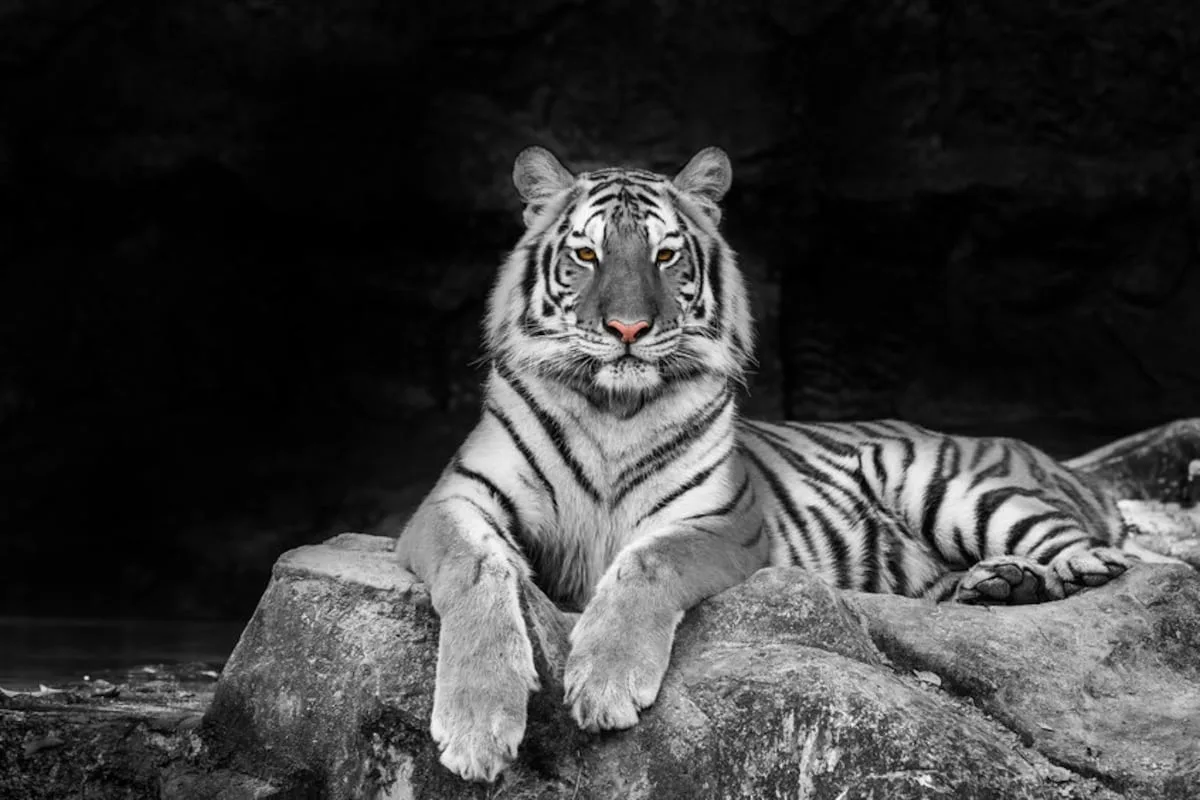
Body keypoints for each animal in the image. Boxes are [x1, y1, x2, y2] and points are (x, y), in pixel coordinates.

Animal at [393, 145, 1143, 783]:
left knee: (1094, 550)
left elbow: (647, 562)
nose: (629, 330)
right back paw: (999, 585)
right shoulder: (452, 502)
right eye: (585, 252)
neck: (613, 408)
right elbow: (476, 569)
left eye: (666, 255)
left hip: (952, 486)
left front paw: (604, 682)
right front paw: (477, 725)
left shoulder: (721, 520)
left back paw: (1056, 571)